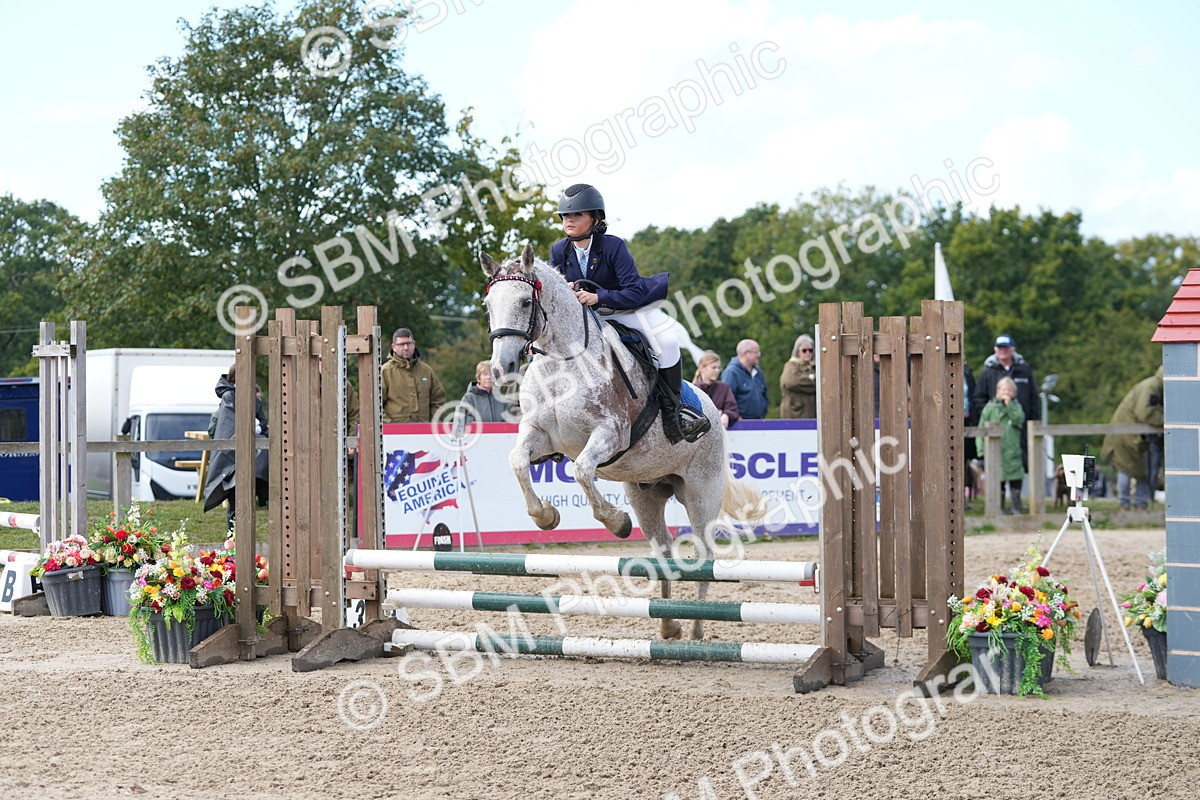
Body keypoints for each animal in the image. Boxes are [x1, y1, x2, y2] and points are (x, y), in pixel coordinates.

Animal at [480, 244, 763, 639]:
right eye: (488, 304)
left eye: (524, 302)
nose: (500, 368)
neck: (561, 365)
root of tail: (712, 410)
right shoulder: (539, 434)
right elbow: (519, 462)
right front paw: (546, 516)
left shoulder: (610, 434)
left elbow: (582, 470)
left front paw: (616, 522)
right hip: (646, 495)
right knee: (664, 555)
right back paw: (669, 625)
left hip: (700, 493)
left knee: (705, 557)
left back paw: (696, 628)